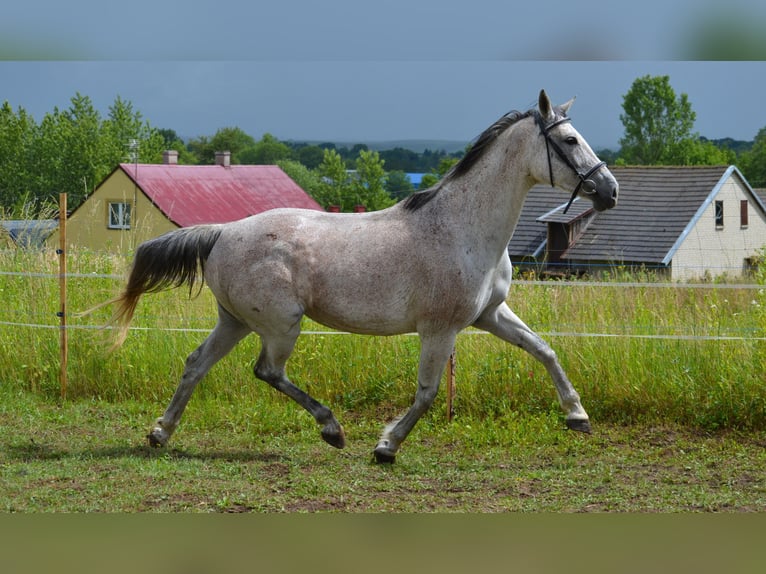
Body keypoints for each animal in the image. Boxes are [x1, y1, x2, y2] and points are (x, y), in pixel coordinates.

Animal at [103, 92, 616, 466]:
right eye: (570, 140)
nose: (609, 190)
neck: (461, 228)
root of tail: (223, 231)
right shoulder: (440, 329)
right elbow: (427, 392)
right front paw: (386, 446)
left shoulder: (490, 314)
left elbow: (545, 350)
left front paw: (578, 416)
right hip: (280, 324)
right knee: (267, 371)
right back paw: (332, 429)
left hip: (236, 320)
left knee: (196, 363)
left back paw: (160, 432)